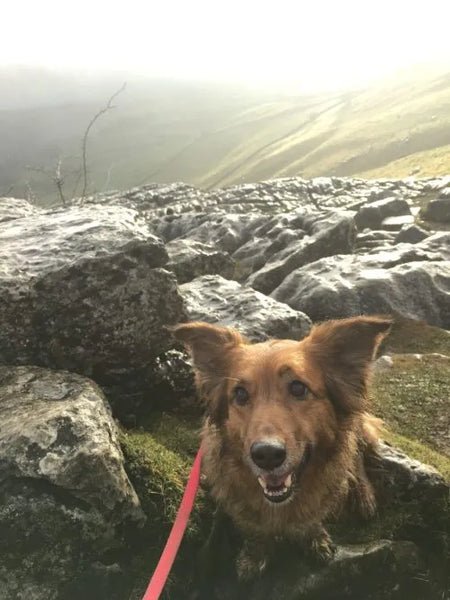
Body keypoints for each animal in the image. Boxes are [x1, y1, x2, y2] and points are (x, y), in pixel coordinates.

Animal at [174, 318, 392, 584]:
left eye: (298, 388)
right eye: (240, 394)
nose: (267, 455)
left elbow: (311, 518)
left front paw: (316, 540)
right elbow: (255, 529)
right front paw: (254, 556)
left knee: (357, 452)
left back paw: (363, 494)